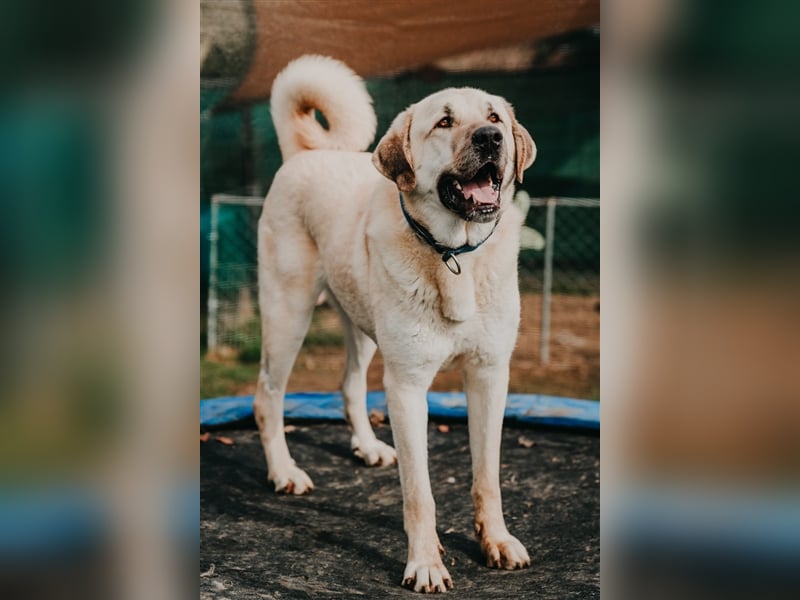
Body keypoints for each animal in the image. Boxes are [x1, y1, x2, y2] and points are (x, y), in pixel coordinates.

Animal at [253, 55, 536, 592]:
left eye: (494, 116)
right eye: (444, 122)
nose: (491, 138)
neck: (454, 255)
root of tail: (307, 154)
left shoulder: (490, 376)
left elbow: (487, 476)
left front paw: (496, 541)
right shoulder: (407, 389)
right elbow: (419, 493)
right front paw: (425, 563)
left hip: (362, 326)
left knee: (349, 384)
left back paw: (366, 447)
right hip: (287, 318)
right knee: (267, 397)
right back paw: (284, 472)